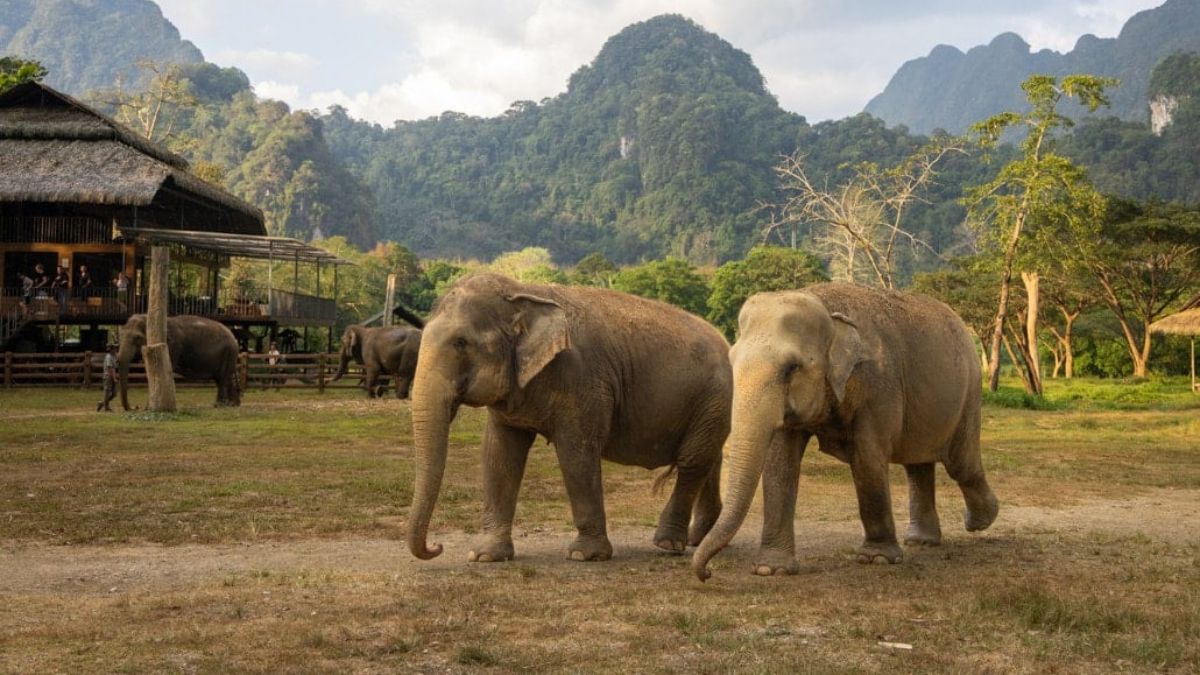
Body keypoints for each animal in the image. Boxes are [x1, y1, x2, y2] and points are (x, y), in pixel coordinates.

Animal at [407, 272, 732, 564]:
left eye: (461, 342)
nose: (436, 547)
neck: (524, 291)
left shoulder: (583, 381)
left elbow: (577, 453)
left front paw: (585, 555)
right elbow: (499, 454)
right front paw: (485, 556)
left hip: (713, 398)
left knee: (692, 462)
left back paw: (668, 544)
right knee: (708, 459)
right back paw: (697, 539)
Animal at [693, 283, 999, 581]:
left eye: (792, 368)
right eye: (732, 362)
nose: (707, 573)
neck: (825, 305)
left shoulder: (878, 384)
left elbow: (867, 457)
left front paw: (876, 559)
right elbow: (780, 462)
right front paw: (772, 569)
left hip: (969, 392)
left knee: (960, 463)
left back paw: (980, 520)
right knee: (917, 463)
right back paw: (922, 541)